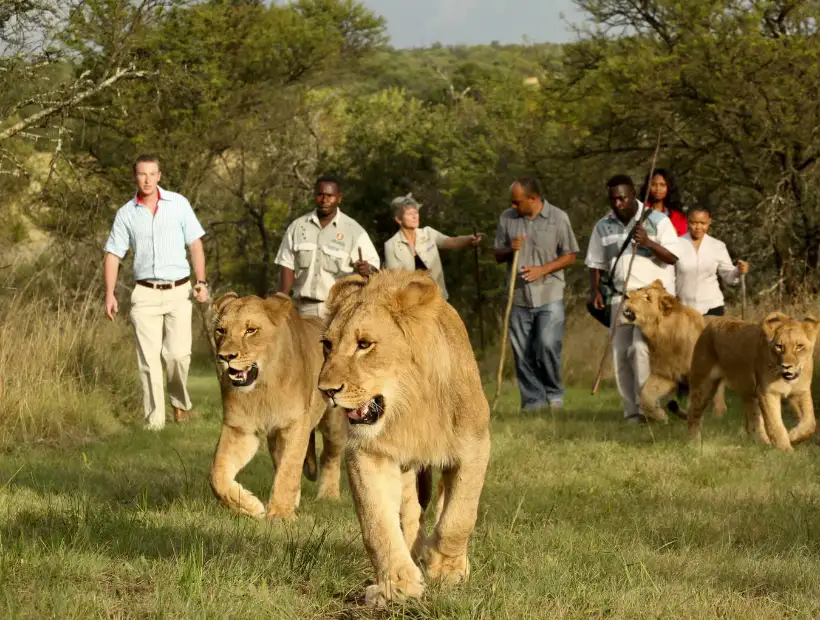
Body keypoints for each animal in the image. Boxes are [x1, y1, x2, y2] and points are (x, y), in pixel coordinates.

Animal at [208, 292, 346, 519]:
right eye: (221, 330)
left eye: (251, 330)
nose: (225, 357)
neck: (262, 389)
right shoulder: (240, 429)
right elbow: (217, 474)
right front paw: (251, 506)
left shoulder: (295, 425)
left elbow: (289, 469)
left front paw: (281, 513)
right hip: (275, 437)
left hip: (333, 425)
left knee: (329, 456)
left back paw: (329, 495)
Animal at [316, 269, 491, 606]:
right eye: (327, 345)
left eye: (364, 344)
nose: (326, 391)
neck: (410, 409)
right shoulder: (369, 453)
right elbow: (377, 525)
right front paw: (398, 585)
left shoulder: (475, 446)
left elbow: (459, 517)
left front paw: (446, 569)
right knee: (410, 514)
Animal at [622, 280, 726, 422]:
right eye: (640, 289)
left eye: (648, 298)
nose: (625, 295)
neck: (663, 337)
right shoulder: (665, 374)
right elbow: (645, 394)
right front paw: (661, 416)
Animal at [687, 312, 820, 451]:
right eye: (779, 346)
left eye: (799, 346)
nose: (786, 366)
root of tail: (711, 322)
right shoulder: (768, 392)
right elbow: (775, 424)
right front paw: (785, 449)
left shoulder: (800, 392)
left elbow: (810, 423)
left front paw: (793, 436)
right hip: (704, 384)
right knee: (693, 413)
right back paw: (694, 444)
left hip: (750, 393)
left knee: (752, 423)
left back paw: (763, 445)